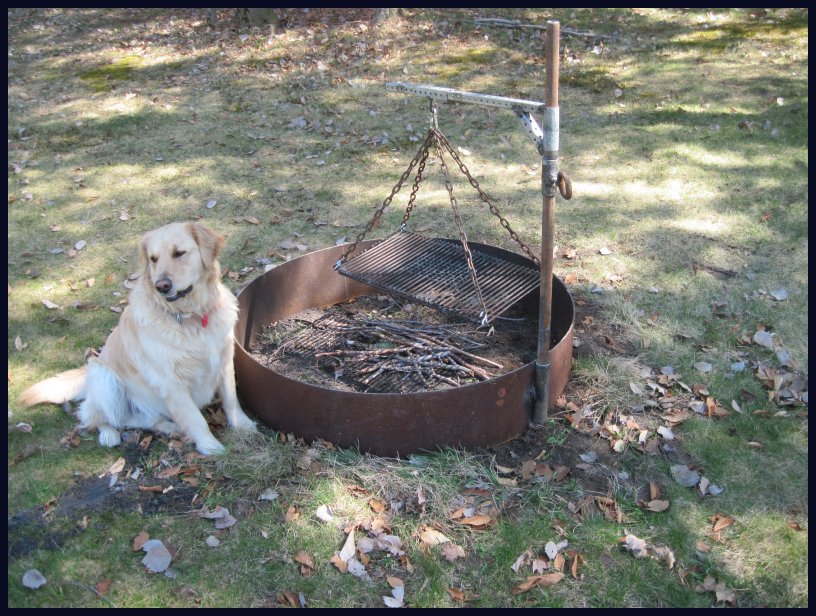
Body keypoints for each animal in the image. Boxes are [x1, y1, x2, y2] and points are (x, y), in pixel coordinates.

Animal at [20, 222, 257, 455]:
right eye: (153, 259)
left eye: (179, 253)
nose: (162, 285)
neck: (190, 317)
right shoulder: (170, 382)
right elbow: (195, 418)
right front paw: (210, 446)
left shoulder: (224, 360)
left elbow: (231, 399)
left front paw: (242, 425)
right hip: (105, 377)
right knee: (98, 417)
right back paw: (109, 434)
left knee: (143, 420)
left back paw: (170, 427)